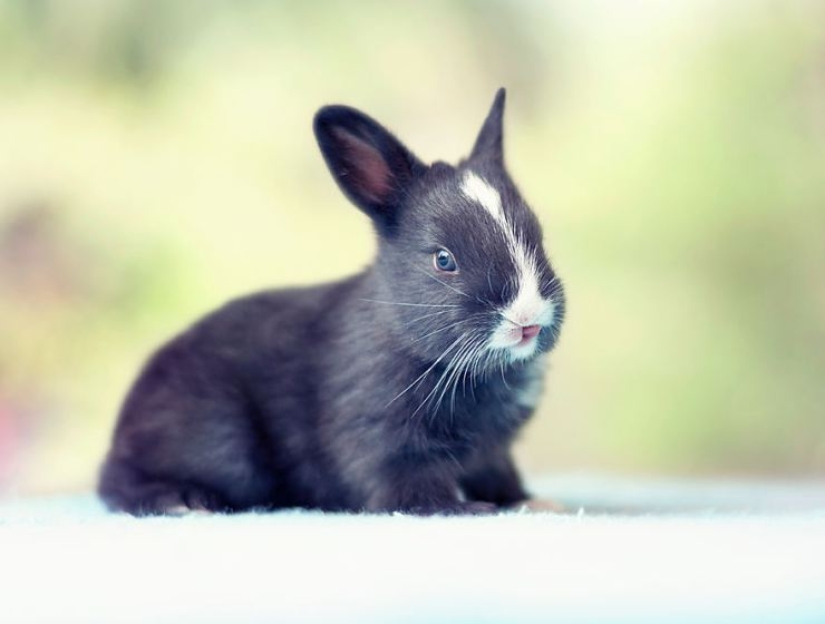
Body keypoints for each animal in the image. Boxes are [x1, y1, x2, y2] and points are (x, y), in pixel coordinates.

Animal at [98, 88, 566, 516]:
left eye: (539, 237)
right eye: (444, 259)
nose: (527, 318)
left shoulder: (493, 452)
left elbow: (499, 477)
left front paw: (533, 503)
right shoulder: (384, 441)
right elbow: (411, 492)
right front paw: (466, 510)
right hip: (219, 443)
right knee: (119, 486)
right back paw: (184, 501)